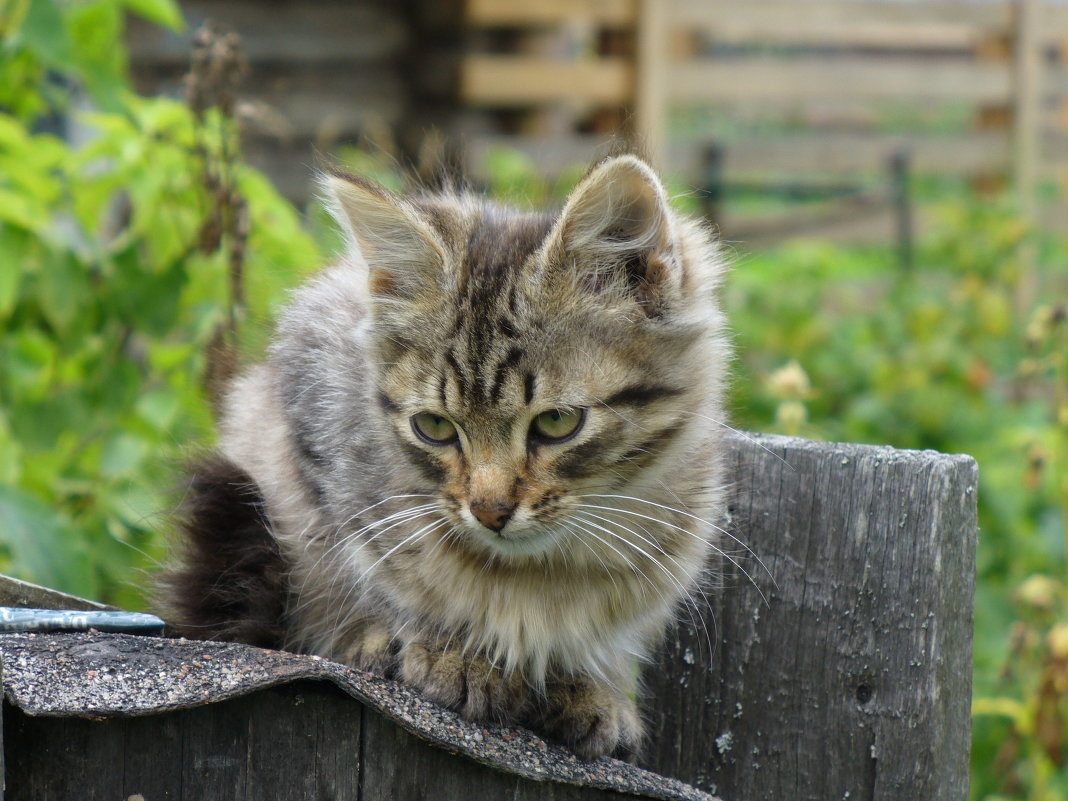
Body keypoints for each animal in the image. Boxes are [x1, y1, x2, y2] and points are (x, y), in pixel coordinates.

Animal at [162, 153, 730, 760]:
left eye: (557, 422)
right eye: (434, 427)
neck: (541, 571)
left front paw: (590, 685)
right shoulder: (311, 438)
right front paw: (450, 650)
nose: (489, 511)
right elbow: (363, 572)